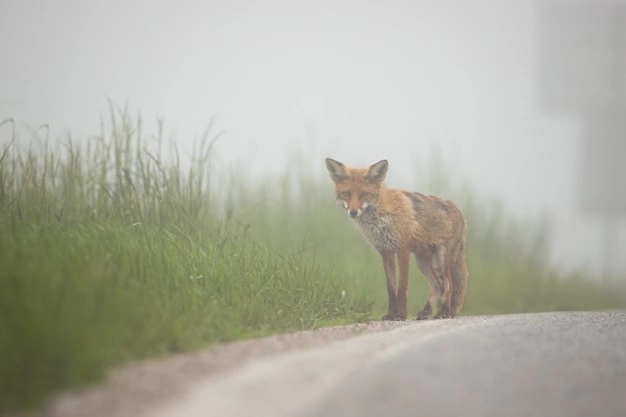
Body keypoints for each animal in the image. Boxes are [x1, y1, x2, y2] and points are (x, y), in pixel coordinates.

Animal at [324, 158, 466, 320]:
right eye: (347, 193)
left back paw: (444, 312)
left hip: (442, 256)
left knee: (449, 284)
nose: (353, 212)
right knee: (437, 285)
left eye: (364, 194)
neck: (382, 217)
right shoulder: (386, 252)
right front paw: (391, 314)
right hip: (421, 260)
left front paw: (401, 314)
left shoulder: (402, 250)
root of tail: (459, 210)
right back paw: (425, 312)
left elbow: (402, 287)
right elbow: (391, 288)